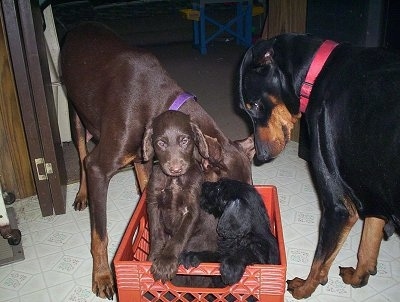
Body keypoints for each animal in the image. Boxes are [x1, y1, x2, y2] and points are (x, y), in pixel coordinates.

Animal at [61, 21, 255, 300]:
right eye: (231, 198)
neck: (160, 103)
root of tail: (78, 27)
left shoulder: (149, 161)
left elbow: (149, 194)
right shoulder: (100, 168)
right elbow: (100, 234)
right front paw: (102, 276)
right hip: (75, 110)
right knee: (82, 155)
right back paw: (81, 194)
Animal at [239, 33, 398, 300]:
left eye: (256, 106)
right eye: (245, 110)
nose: (260, 156)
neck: (316, 74)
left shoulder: (338, 208)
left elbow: (319, 261)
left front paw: (304, 288)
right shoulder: (370, 187)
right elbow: (367, 246)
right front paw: (358, 277)